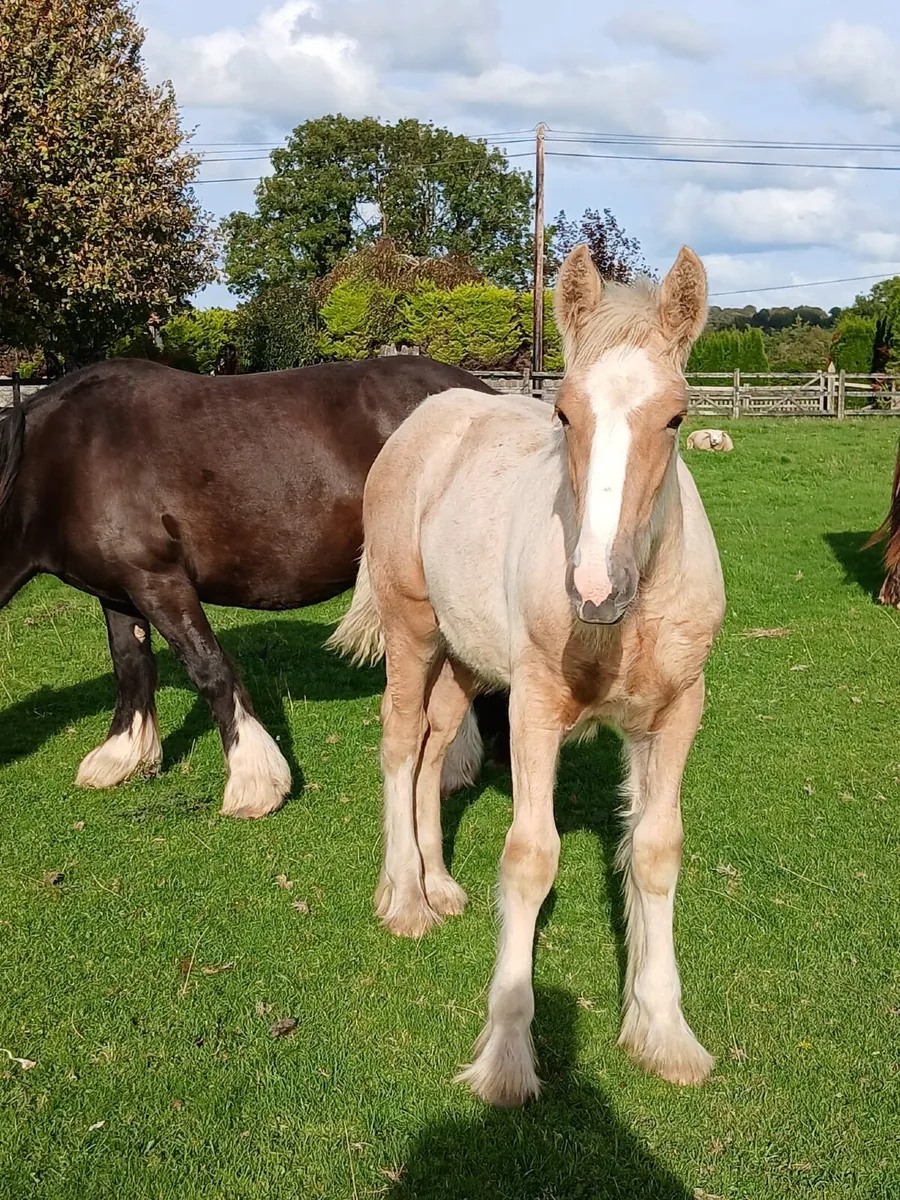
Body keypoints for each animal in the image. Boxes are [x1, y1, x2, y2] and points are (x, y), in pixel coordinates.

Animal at [0, 354, 500, 819]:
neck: (66, 458)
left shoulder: (159, 581)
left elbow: (210, 669)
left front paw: (254, 782)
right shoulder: (119, 592)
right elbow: (131, 666)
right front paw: (120, 757)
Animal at [330, 245, 725, 1106]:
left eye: (676, 418)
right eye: (566, 414)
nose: (596, 588)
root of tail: (428, 418)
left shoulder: (676, 713)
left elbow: (656, 853)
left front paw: (665, 1033)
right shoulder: (535, 709)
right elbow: (531, 857)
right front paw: (508, 1055)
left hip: (466, 658)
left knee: (434, 747)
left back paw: (440, 885)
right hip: (414, 630)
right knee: (398, 740)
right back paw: (405, 897)